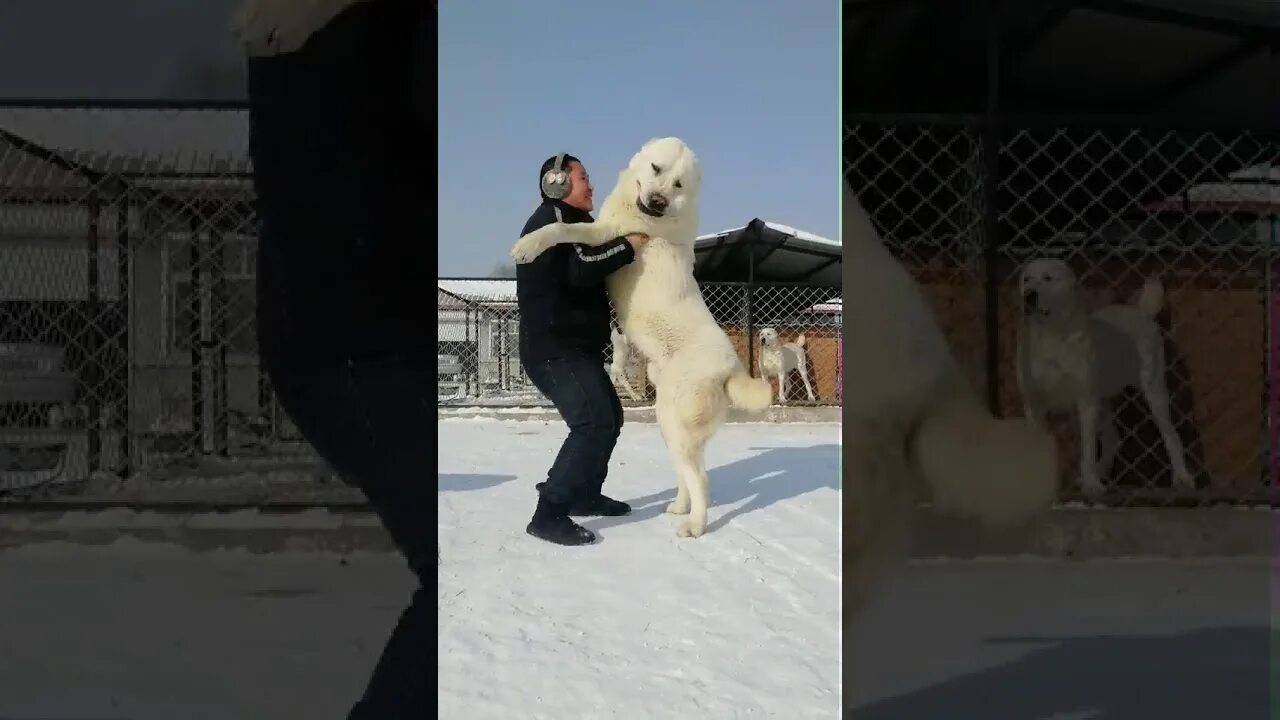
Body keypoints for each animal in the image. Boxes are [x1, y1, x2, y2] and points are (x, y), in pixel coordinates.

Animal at [509, 137, 768, 535]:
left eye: (678, 184)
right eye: (656, 169)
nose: (659, 200)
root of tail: (733, 366)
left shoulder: (606, 232)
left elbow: (564, 231)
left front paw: (528, 246)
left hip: (679, 420)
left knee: (700, 478)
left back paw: (695, 525)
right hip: (669, 420)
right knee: (689, 471)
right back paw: (679, 507)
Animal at [1013, 254, 1192, 497]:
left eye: (1048, 278)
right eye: (1026, 279)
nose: (1029, 295)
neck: (1052, 338)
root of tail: (1141, 311)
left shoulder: (1086, 402)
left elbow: (1087, 450)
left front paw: (1091, 484)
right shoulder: (1034, 405)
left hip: (1154, 391)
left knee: (1171, 436)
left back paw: (1182, 477)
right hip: (1104, 399)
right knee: (1111, 438)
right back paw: (1103, 471)